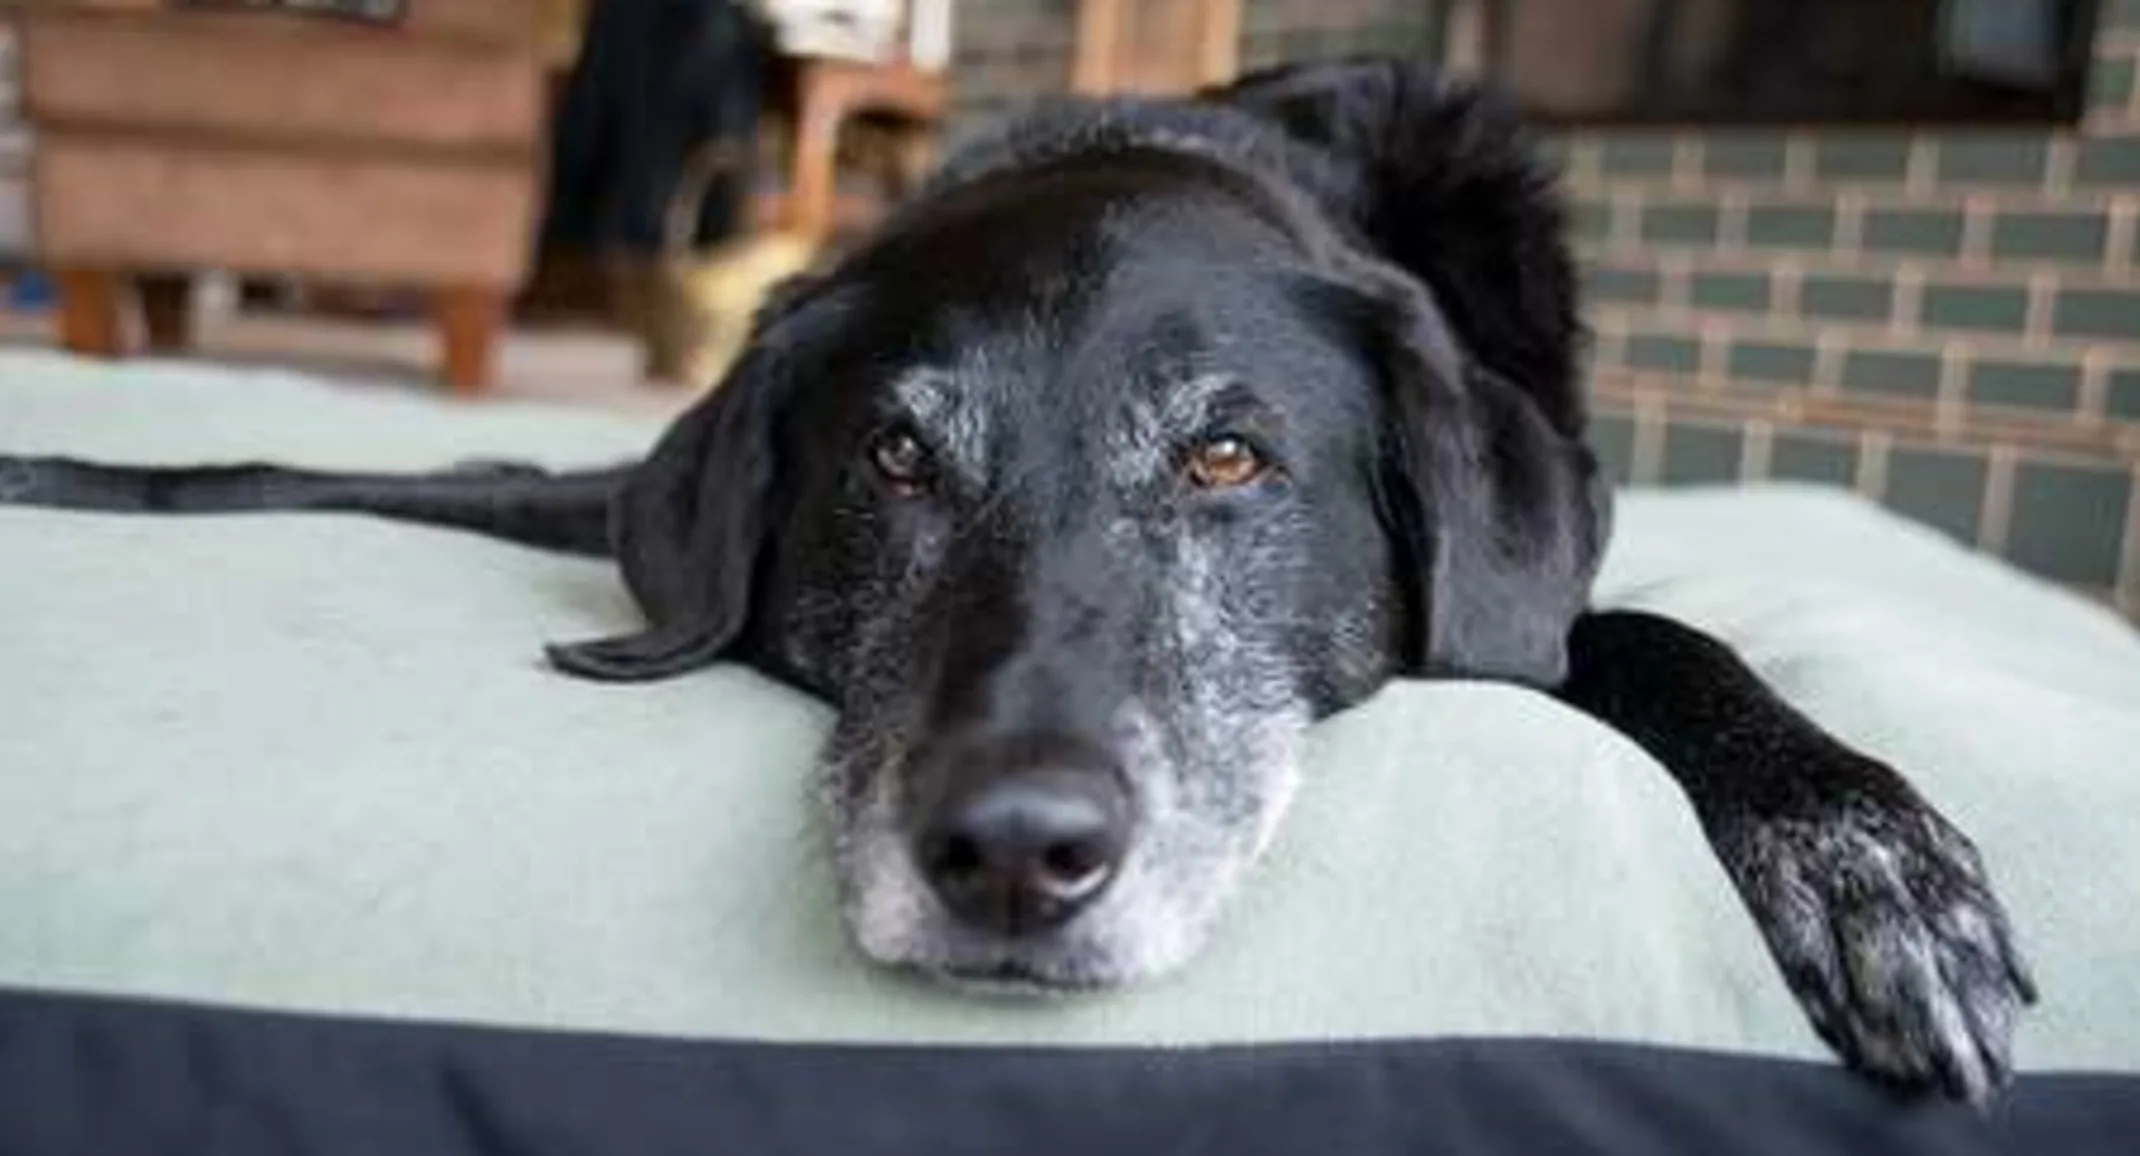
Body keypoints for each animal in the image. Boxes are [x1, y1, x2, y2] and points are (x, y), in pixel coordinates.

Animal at [0, 58, 2028, 1104]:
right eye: (896, 461)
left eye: (1228, 459)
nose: (1014, 859)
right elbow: (314, 466)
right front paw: (65, 466)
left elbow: (1651, 631)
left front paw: (1863, 850)